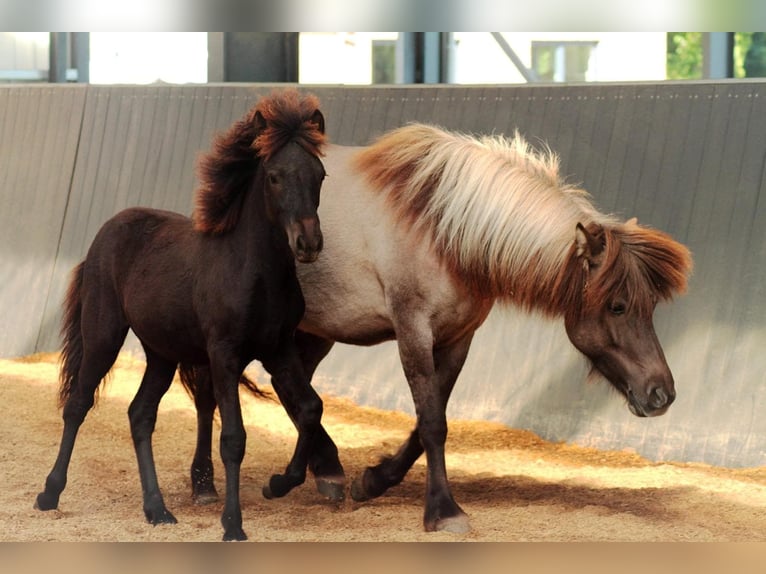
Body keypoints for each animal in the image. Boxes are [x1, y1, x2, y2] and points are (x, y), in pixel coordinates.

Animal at [34, 90, 328, 542]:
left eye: (320, 175)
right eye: (275, 176)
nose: (308, 242)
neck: (254, 270)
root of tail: (105, 233)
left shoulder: (278, 349)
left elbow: (310, 408)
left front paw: (278, 484)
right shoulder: (224, 353)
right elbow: (234, 438)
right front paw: (232, 524)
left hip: (161, 353)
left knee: (140, 414)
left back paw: (157, 509)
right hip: (103, 336)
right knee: (78, 403)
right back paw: (49, 494)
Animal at [185, 122, 693, 534]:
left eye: (650, 306)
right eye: (618, 306)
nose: (662, 394)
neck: (442, 230)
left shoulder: (457, 339)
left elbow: (430, 418)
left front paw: (374, 481)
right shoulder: (413, 331)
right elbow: (432, 422)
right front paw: (443, 511)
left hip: (313, 332)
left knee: (293, 390)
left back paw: (327, 469)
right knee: (215, 394)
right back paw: (206, 484)